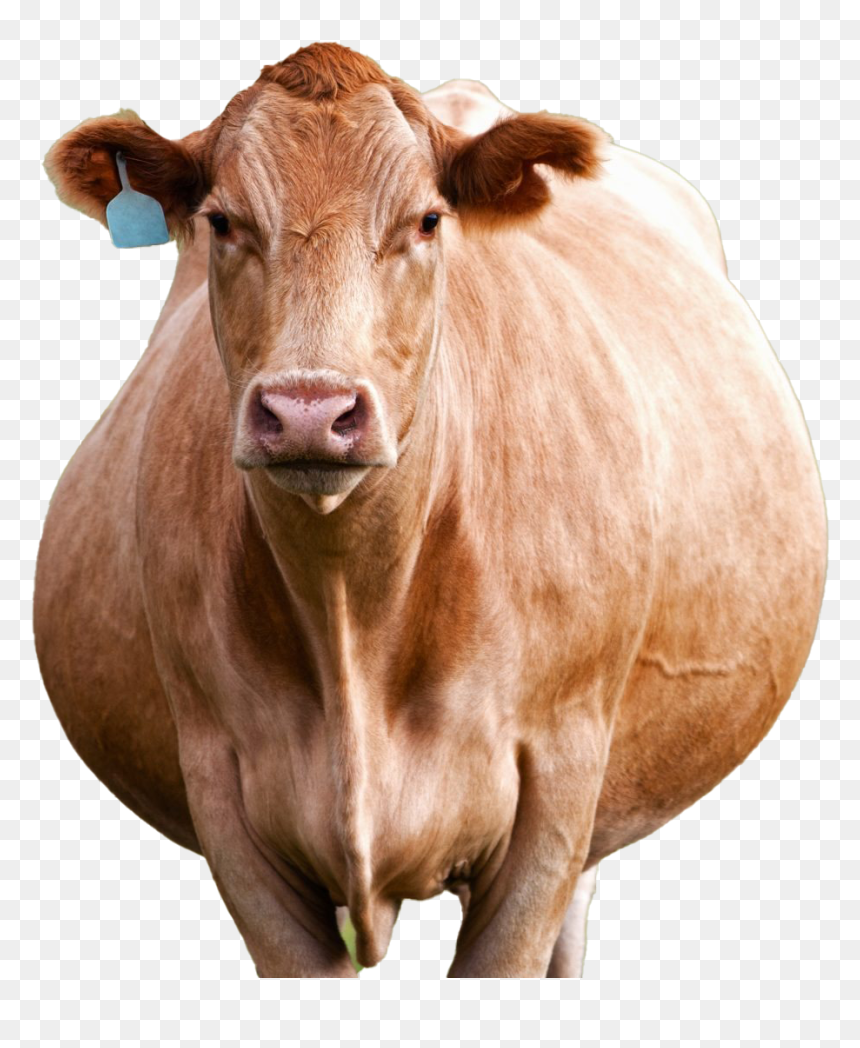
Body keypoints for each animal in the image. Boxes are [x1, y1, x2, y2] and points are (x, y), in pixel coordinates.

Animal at [35, 43, 827, 978]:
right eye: (222, 222)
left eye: (425, 221)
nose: (311, 409)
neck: (356, 612)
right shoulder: (226, 802)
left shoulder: (556, 792)